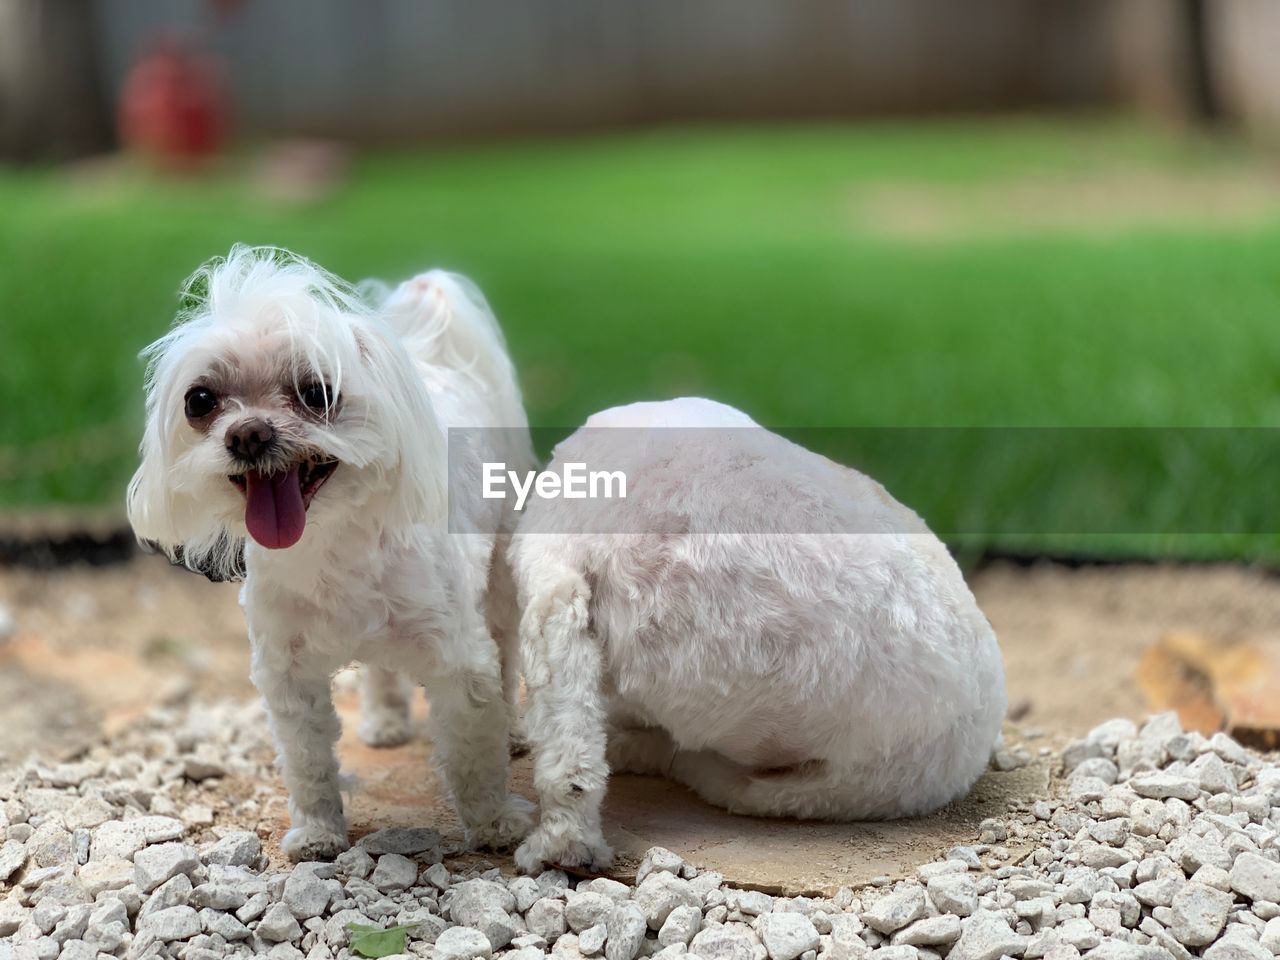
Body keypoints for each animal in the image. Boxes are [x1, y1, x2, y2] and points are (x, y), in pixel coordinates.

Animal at [126, 248, 535, 865]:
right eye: (199, 400)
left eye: (317, 393)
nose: (247, 434)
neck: (330, 548)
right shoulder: (288, 674)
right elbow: (309, 762)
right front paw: (317, 833)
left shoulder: (461, 660)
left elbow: (472, 750)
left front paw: (493, 822)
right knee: (382, 669)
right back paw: (385, 720)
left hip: (501, 577)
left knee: (507, 654)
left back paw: (512, 729)